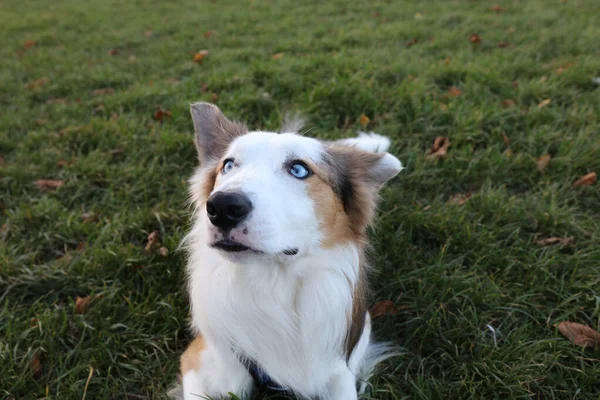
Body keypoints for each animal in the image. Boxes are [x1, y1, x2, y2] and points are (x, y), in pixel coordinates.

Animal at [173, 101, 406, 398]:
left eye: (299, 169)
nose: (222, 207)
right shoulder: (198, 359)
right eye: (228, 165)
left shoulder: (336, 369)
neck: (272, 282)